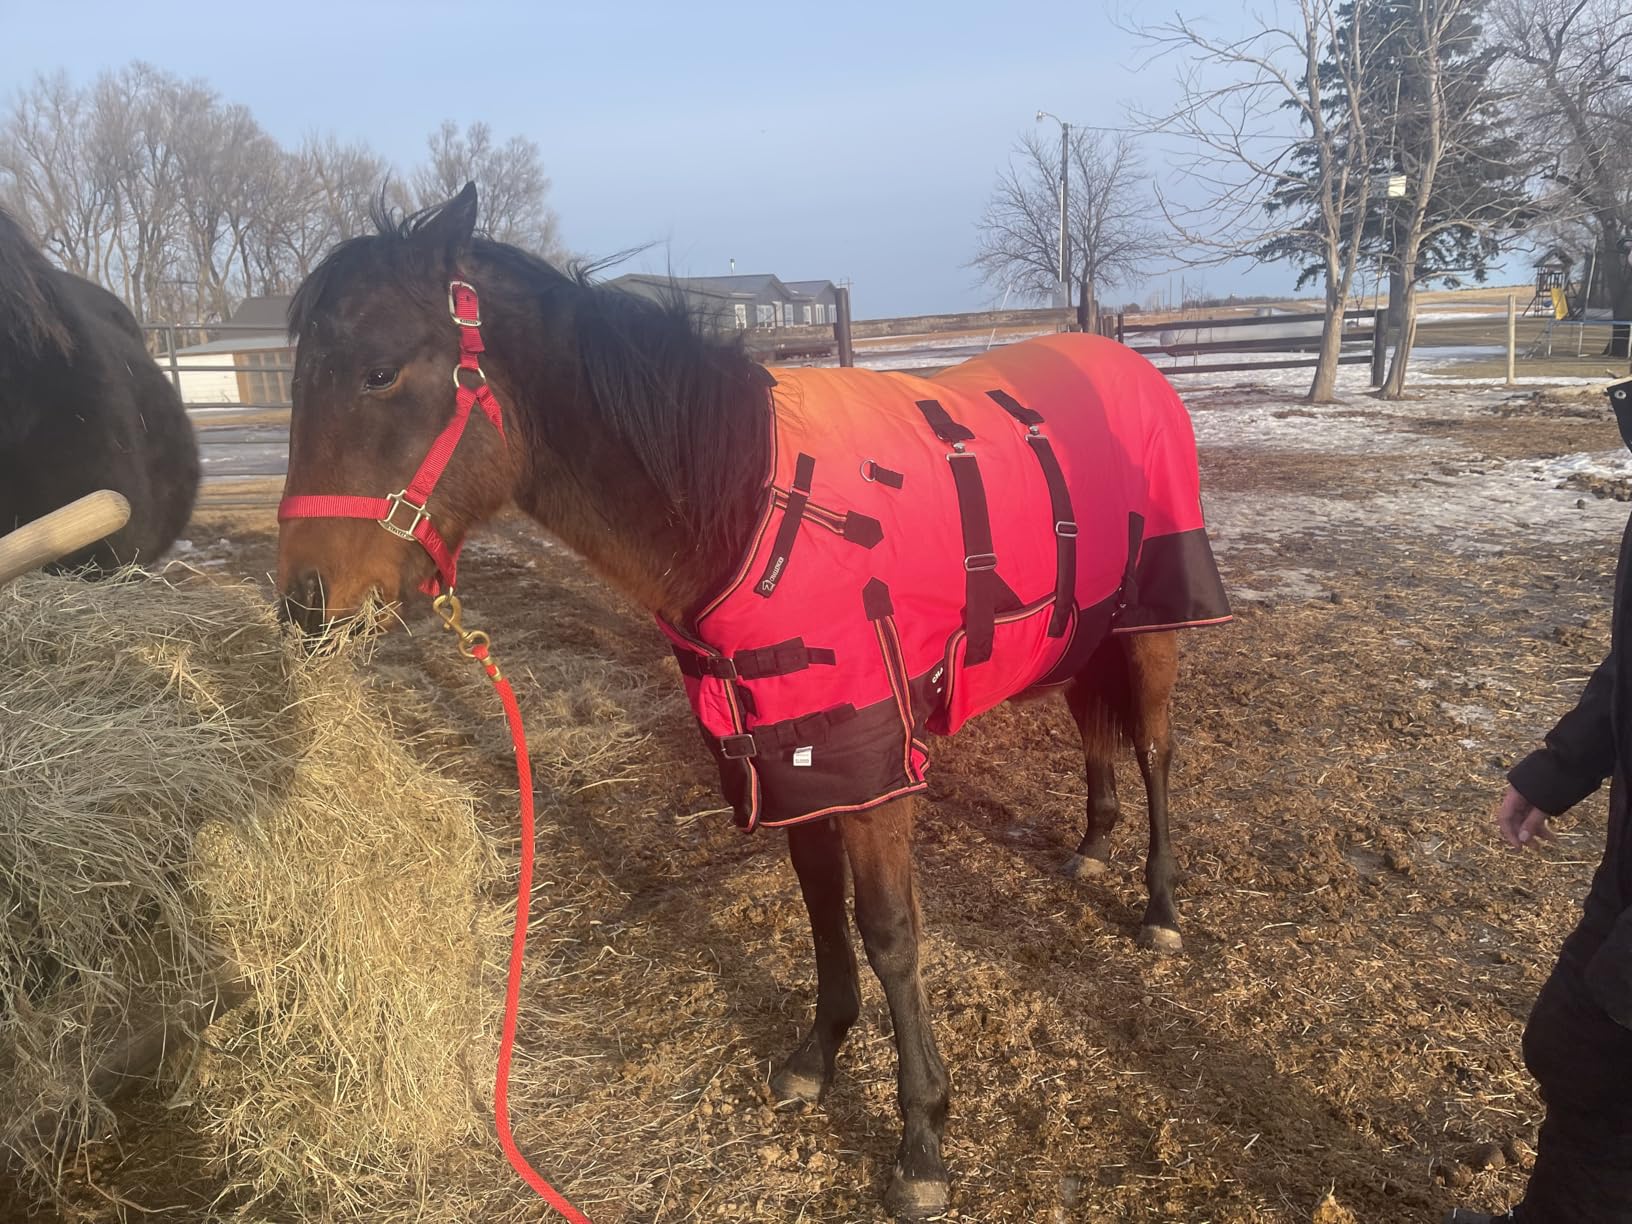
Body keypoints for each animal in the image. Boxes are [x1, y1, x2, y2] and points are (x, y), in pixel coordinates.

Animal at [274, 184, 1230, 1218]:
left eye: (378, 371)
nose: (303, 603)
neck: (750, 511)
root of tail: (1122, 360)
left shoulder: (870, 765)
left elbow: (890, 933)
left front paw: (922, 1139)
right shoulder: (793, 755)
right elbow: (820, 912)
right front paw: (817, 1058)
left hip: (1154, 624)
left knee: (1154, 753)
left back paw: (1159, 908)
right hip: (1084, 630)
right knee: (1097, 734)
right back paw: (1092, 848)